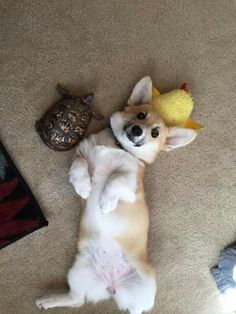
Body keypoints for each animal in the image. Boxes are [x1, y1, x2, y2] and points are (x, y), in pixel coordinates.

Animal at [36, 76, 196, 314]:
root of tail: (111, 284)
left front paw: (105, 203)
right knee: (76, 299)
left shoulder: (131, 185)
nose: (138, 130)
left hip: (143, 287)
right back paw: (47, 301)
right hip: (78, 273)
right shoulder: (81, 155)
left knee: (133, 309)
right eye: (140, 115)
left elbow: (115, 178)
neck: (120, 147)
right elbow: (79, 165)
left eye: (155, 133)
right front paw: (84, 186)